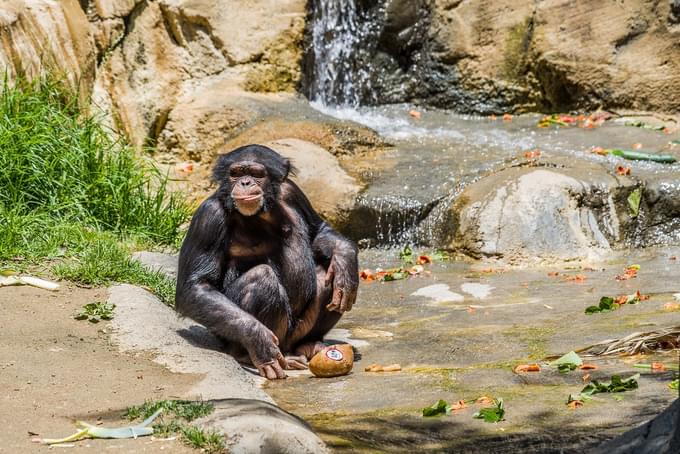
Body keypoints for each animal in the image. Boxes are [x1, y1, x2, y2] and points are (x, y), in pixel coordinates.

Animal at [175, 144, 362, 378]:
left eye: (256, 174)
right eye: (236, 173)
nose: (245, 182)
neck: (260, 212)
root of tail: (288, 348)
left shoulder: (293, 191)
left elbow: (318, 230)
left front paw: (346, 262)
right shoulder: (208, 217)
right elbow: (196, 286)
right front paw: (259, 340)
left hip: (297, 332)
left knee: (326, 273)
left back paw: (310, 344)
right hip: (253, 337)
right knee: (262, 278)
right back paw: (246, 354)